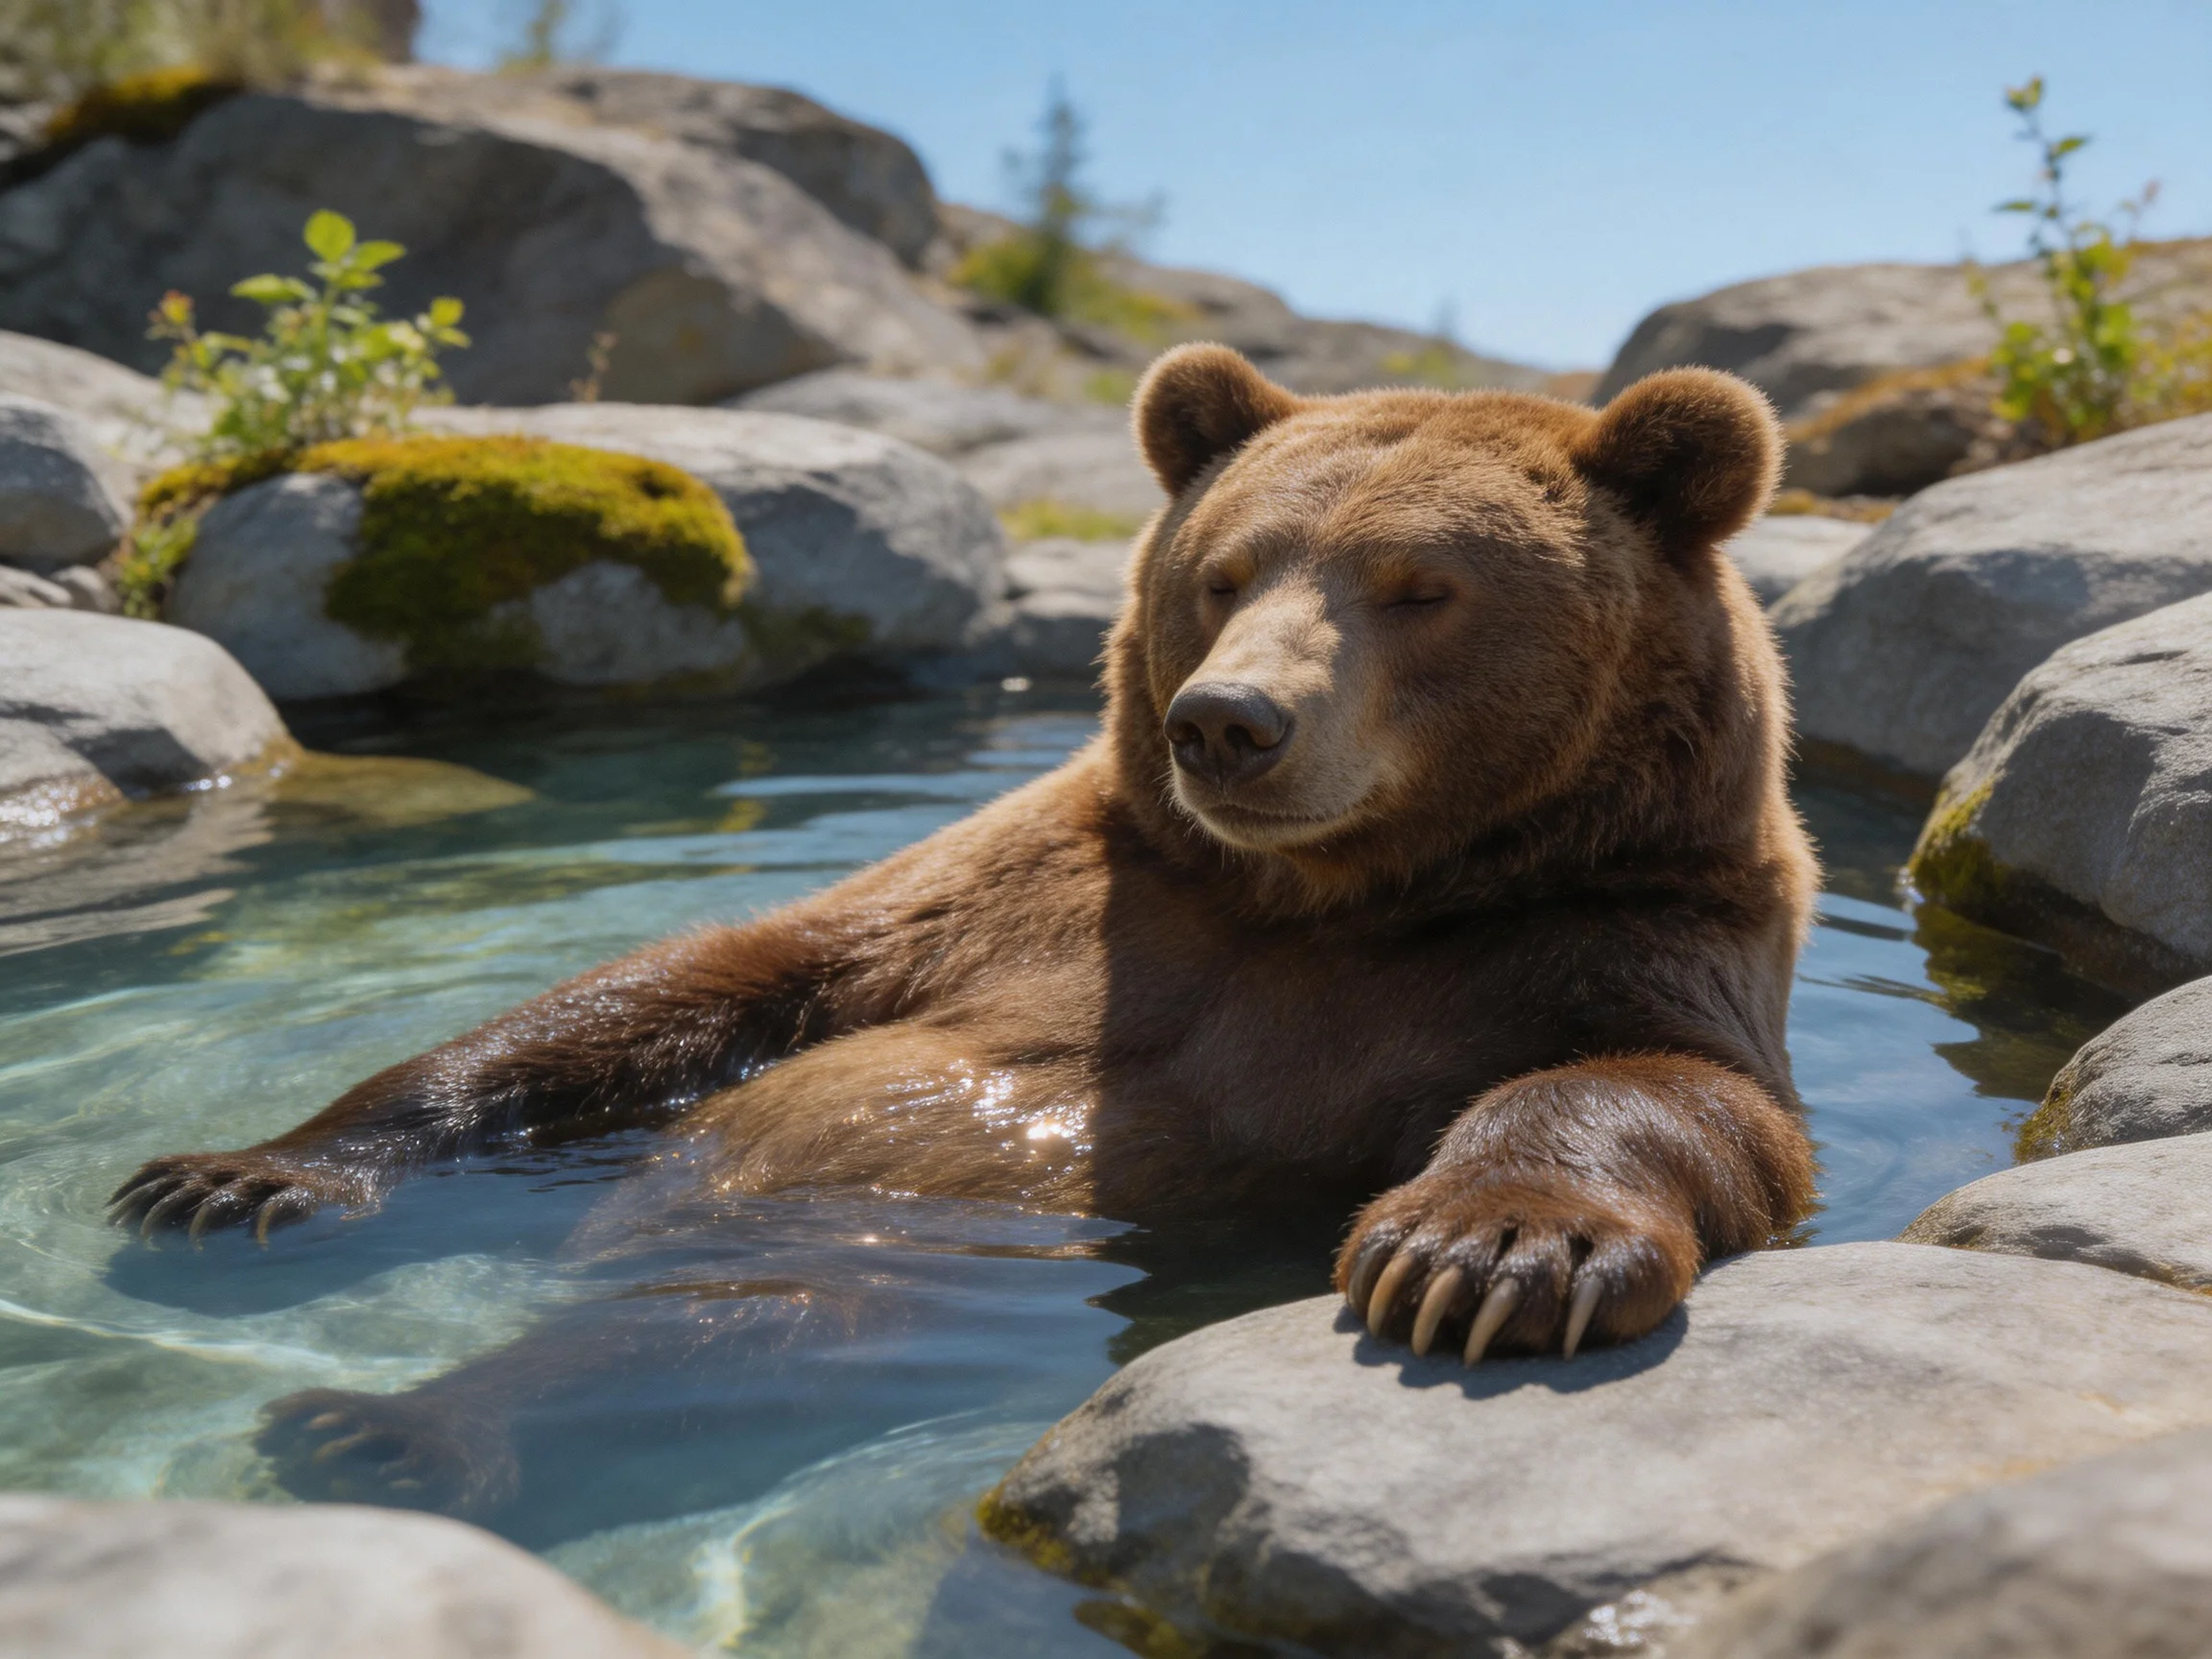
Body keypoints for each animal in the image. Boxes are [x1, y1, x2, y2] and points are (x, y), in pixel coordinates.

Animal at [109, 343, 1817, 1525]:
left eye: (1419, 587)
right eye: (1228, 572)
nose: (1230, 724)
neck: (1323, 892)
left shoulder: (1605, 932)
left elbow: (1676, 1095)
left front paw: (1482, 1251)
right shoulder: (1052, 887)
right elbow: (690, 987)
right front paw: (242, 1173)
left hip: (880, 1284)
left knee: (726, 1344)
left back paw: (402, 1429)